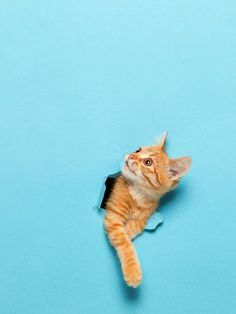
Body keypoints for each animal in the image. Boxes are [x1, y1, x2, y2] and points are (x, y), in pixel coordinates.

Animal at [103, 132, 192, 288]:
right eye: (138, 150)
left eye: (148, 162)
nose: (131, 156)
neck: (138, 193)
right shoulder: (114, 216)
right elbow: (124, 241)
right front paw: (132, 272)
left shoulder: (142, 218)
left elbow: (129, 231)